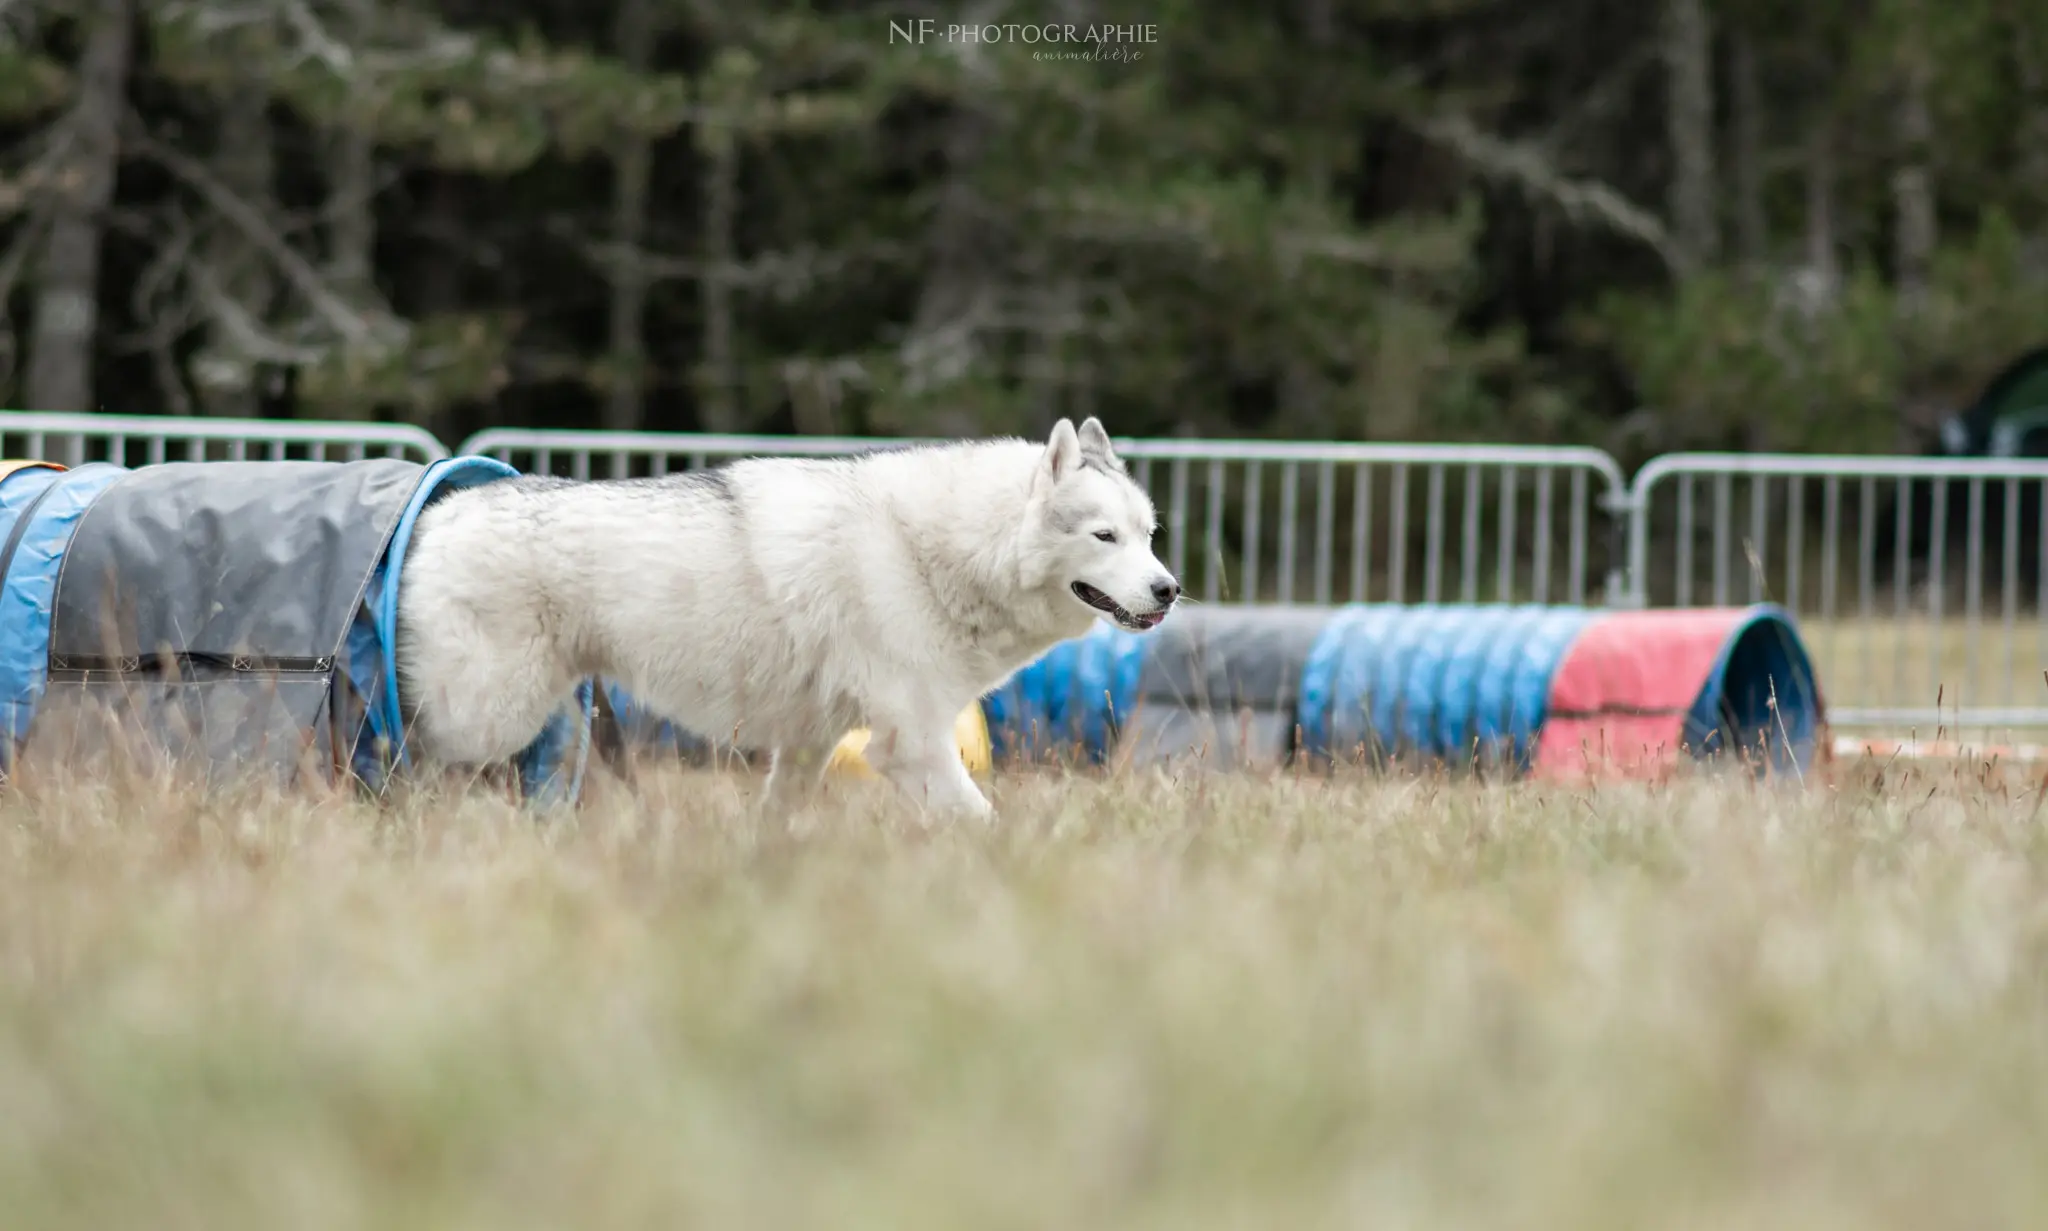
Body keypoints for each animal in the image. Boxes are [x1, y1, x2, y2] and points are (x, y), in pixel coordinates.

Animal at [391, 419, 1179, 815]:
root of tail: (436, 513)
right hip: (485, 718)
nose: (1169, 590)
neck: (933, 548)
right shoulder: (913, 743)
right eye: (1104, 536)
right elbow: (984, 822)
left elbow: (776, 823)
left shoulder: (809, 743)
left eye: (1148, 534)